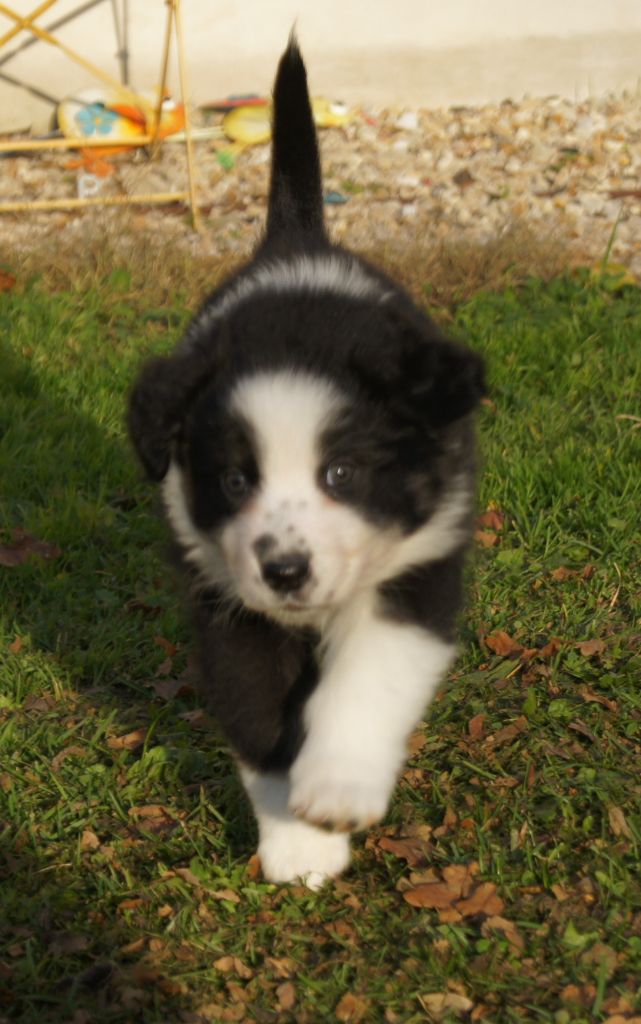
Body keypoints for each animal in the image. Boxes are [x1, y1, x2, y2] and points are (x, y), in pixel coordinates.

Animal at [128, 37, 485, 889]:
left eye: (341, 475)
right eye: (234, 480)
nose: (285, 571)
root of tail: (298, 242)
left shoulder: (417, 568)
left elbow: (370, 676)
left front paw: (336, 792)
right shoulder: (228, 602)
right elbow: (259, 720)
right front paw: (298, 846)